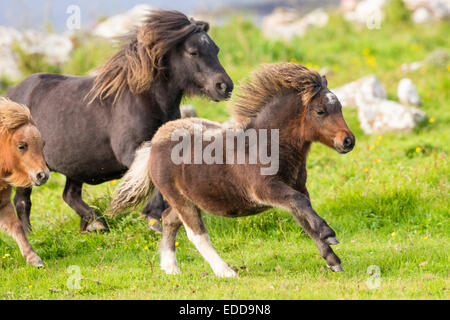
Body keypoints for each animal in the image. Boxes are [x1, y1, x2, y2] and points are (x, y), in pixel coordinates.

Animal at [0, 98, 49, 268]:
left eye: (43, 144)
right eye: (22, 146)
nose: (43, 175)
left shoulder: (2, 201)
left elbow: (16, 225)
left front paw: (33, 258)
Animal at [7, 9, 232, 230]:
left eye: (216, 50)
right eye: (193, 52)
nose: (225, 86)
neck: (143, 98)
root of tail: (11, 94)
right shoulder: (131, 151)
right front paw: (154, 219)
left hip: (74, 167)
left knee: (69, 195)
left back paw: (97, 223)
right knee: (22, 202)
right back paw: (30, 235)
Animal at [110, 63, 356, 278]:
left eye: (340, 108)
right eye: (320, 111)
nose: (348, 141)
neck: (266, 145)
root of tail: (154, 143)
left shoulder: (296, 188)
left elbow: (304, 217)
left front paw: (332, 260)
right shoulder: (266, 190)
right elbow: (301, 205)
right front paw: (329, 234)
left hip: (187, 200)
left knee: (169, 220)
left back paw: (171, 268)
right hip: (179, 199)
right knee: (196, 234)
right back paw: (225, 272)